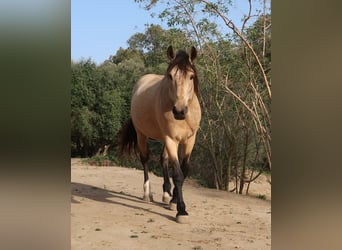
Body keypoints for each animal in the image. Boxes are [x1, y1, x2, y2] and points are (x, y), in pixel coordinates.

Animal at [119, 46, 202, 224]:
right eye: (170, 76)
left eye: (191, 76)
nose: (179, 111)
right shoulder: (171, 139)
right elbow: (177, 174)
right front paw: (181, 210)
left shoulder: (189, 140)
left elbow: (184, 170)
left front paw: (174, 200)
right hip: (141, 134)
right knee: (145, 159)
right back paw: (147, 193)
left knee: (163, 159)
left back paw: (166, 194)